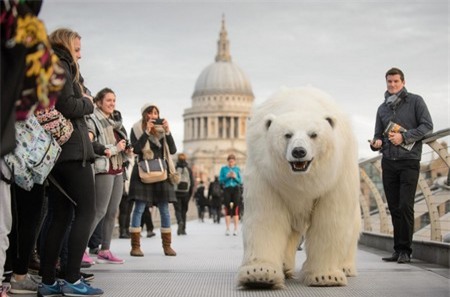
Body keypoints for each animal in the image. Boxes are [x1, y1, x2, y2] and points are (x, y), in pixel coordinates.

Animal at [237, 85, 360, 286]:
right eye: (287, 134)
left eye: (313, 134)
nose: (299, 151)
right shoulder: (267, 176)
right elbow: (266, 218)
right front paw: (259, 273)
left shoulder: (335, 177)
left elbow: (330, 220)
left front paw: (326, 276)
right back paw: (285, 267)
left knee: (351, 227)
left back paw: (346, 267)